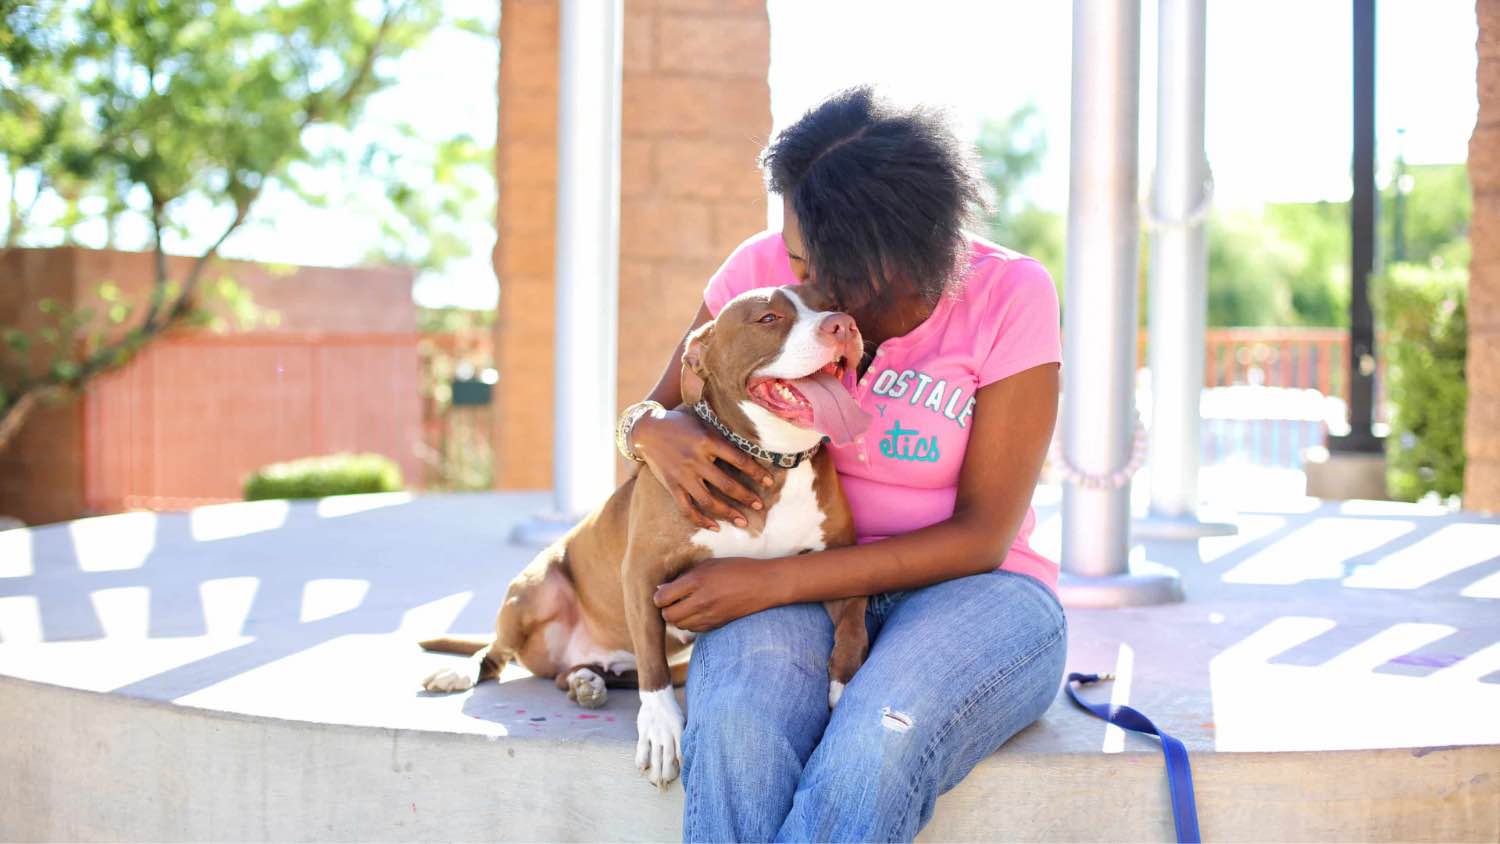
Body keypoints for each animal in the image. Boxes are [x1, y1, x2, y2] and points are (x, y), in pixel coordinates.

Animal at [417, 287, 876, 791]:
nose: (843, 325)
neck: (770, 460)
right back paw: (465, 671)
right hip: (534, 590)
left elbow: (853, 624)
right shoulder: (642, 571)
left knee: (589, 671)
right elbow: (653, 674)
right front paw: (660, 729)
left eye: (830, 302)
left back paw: (586, 680)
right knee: (497, 649)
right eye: (769, 318)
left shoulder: (840, 561)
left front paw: (844, 685)